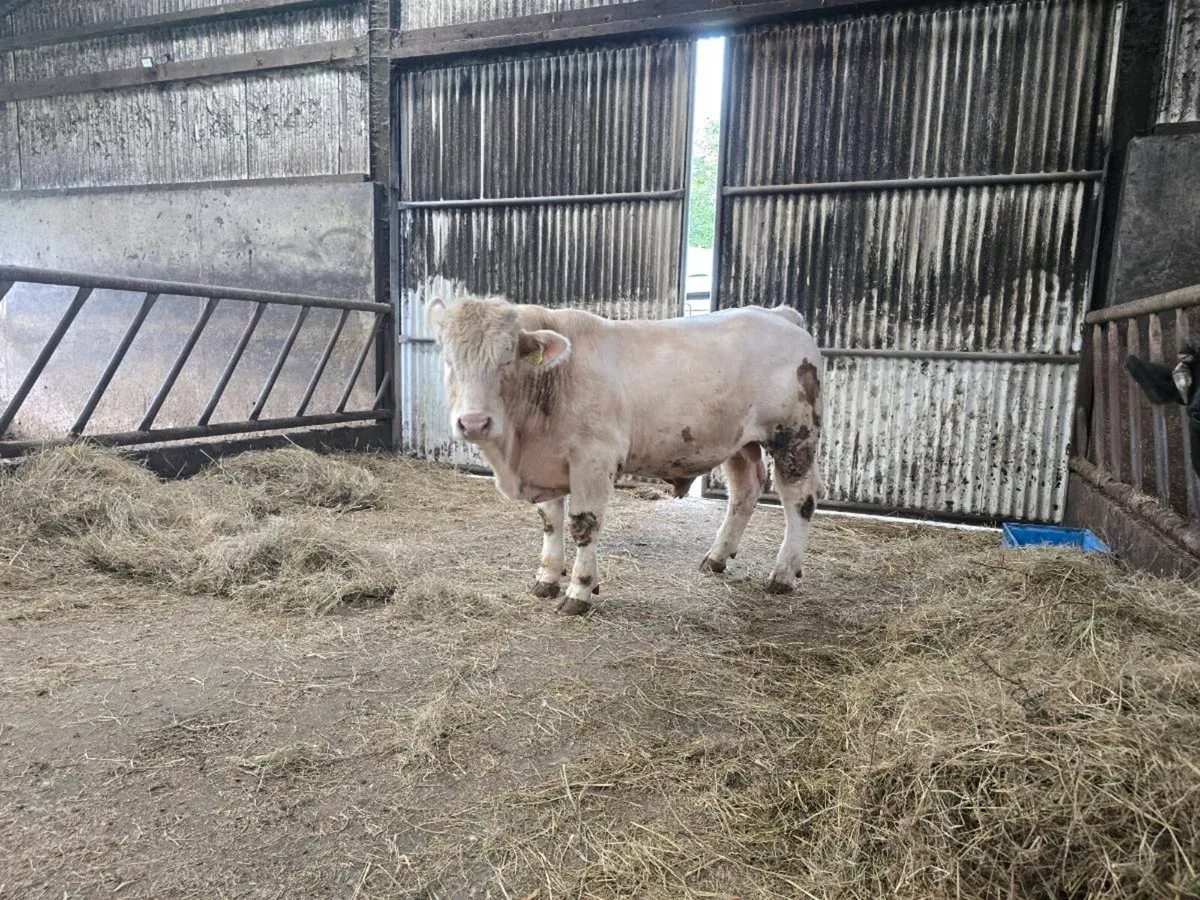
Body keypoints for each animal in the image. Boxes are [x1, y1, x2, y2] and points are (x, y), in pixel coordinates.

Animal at [427, 296, 824, 615]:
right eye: (448, 359)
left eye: (507, 359)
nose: (473, 423)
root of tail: (779, 314)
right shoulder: (550, 461)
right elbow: (550, 522)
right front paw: (547, 579)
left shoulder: (593, 460)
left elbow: (583, 526)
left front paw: (579, 591)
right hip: (738, 443)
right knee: (745, 490)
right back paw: (716, 557)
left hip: (795, 437)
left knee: (800, 500)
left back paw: (783, 574)